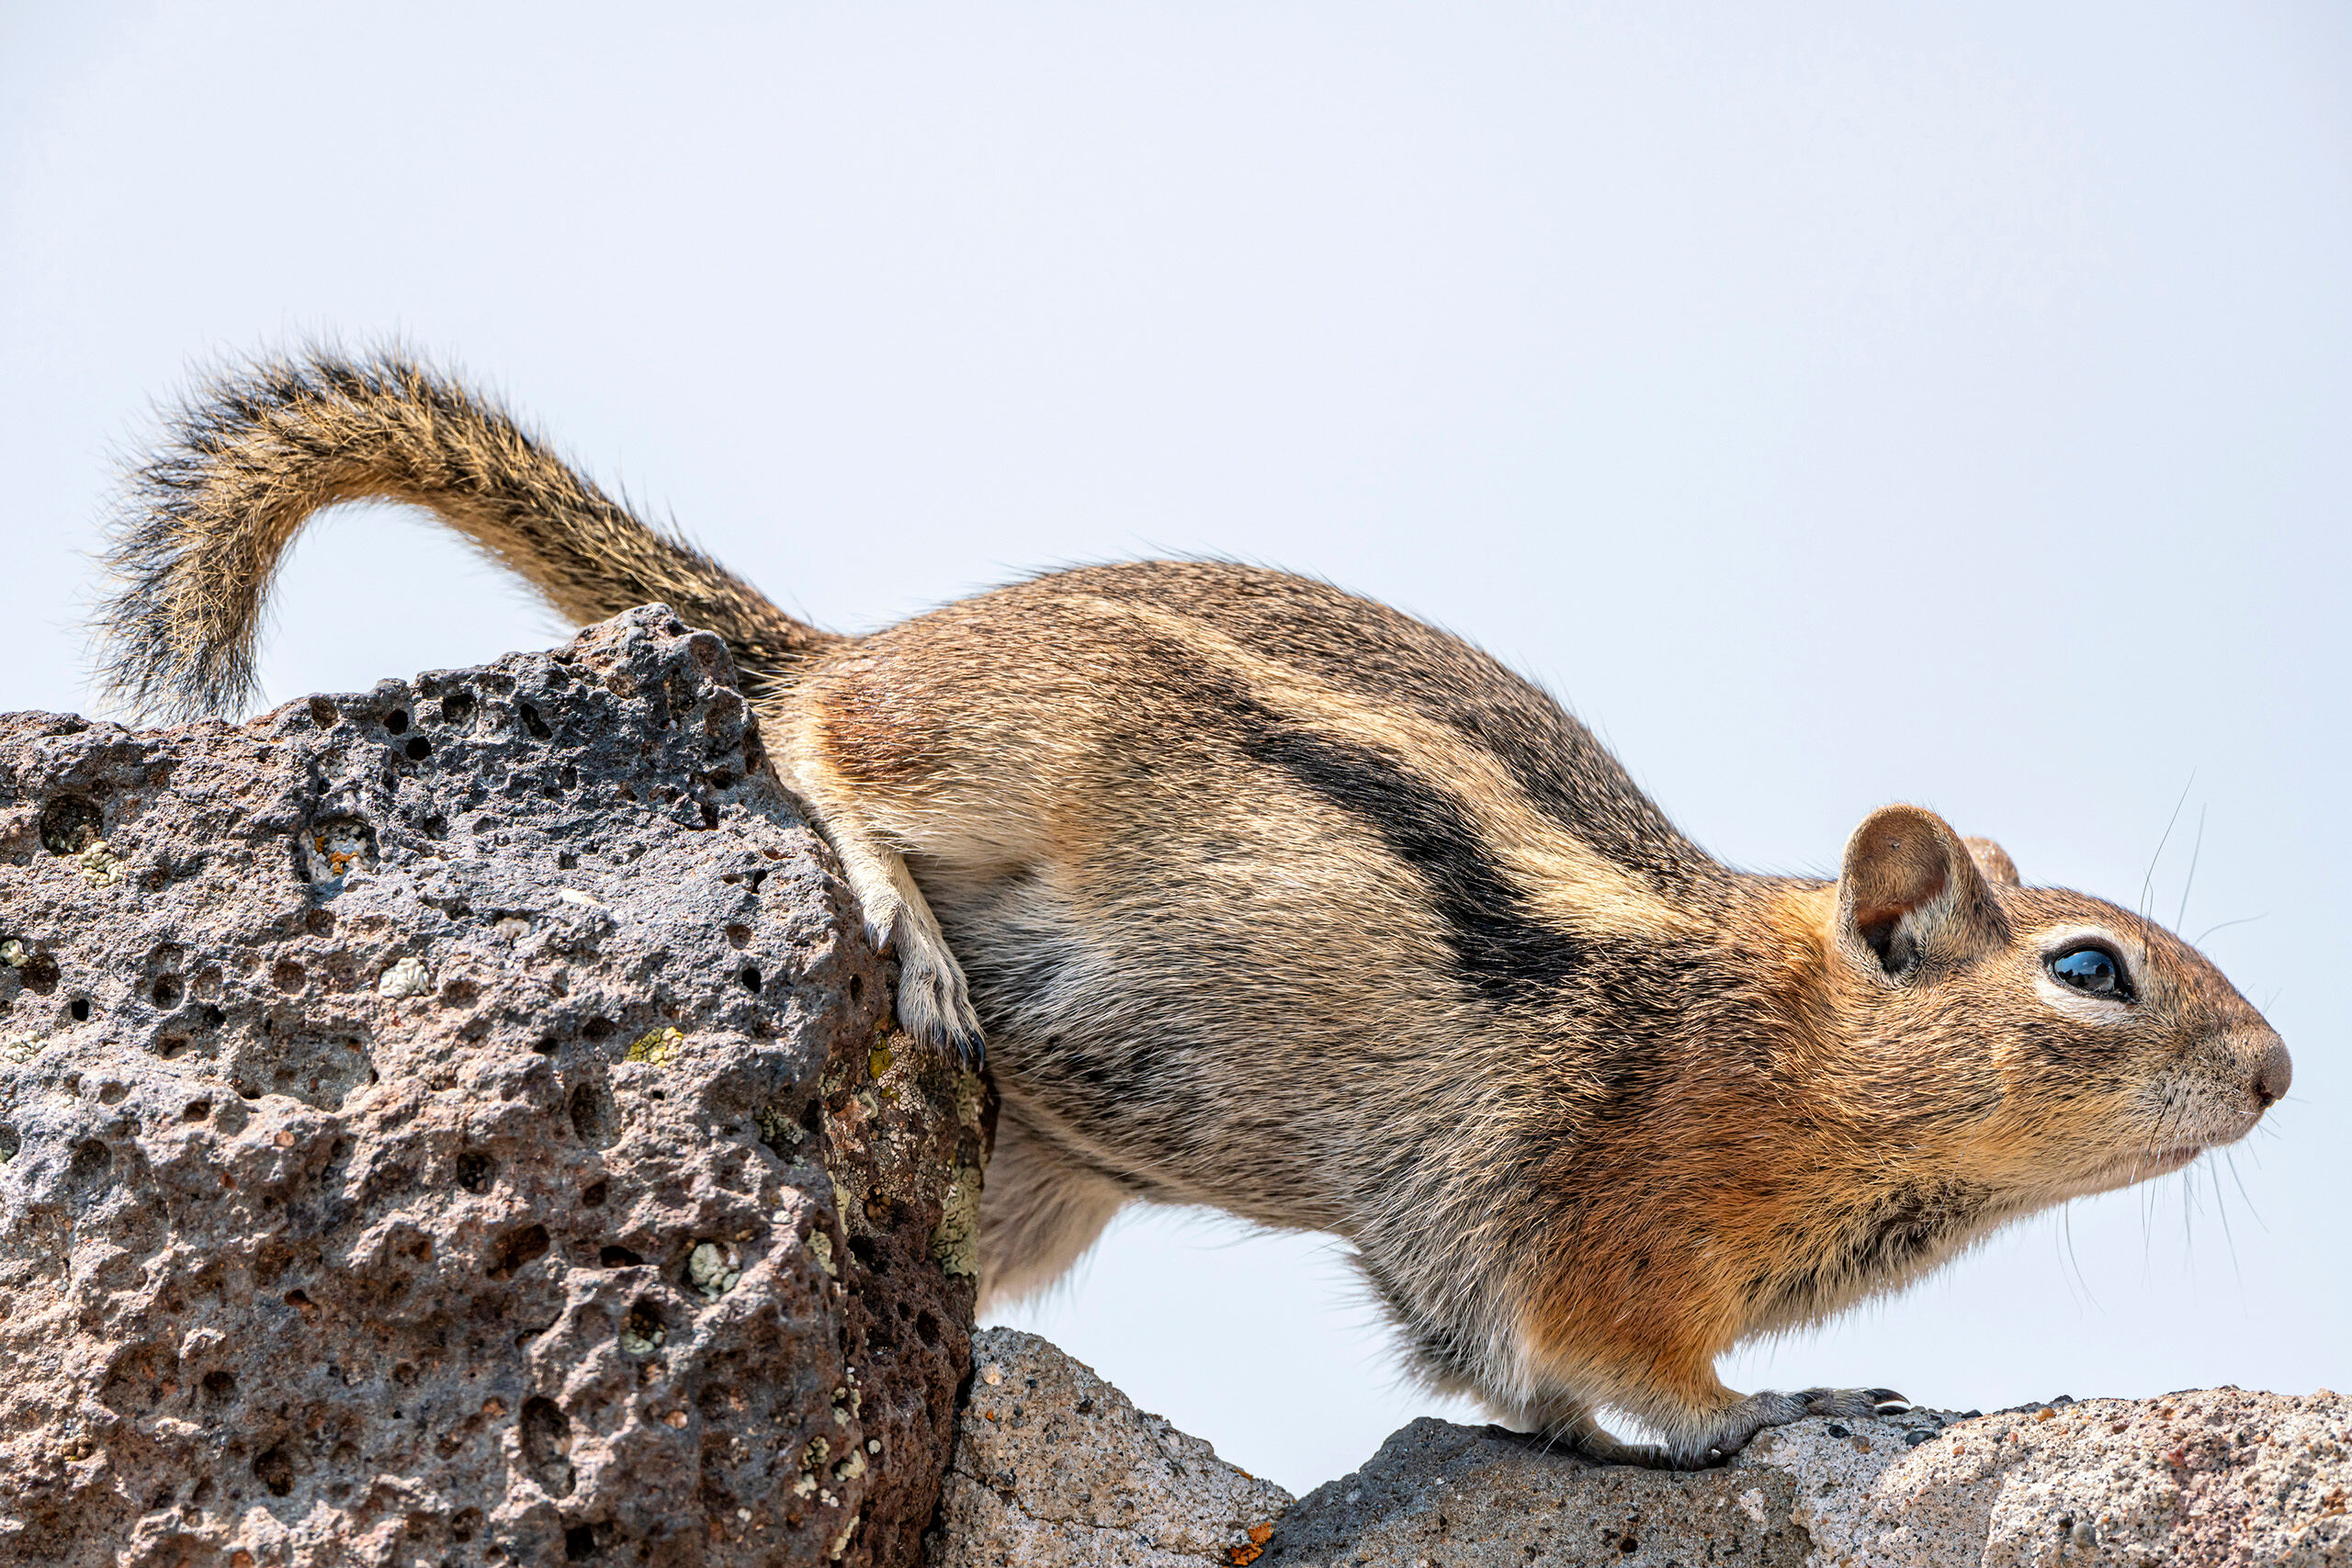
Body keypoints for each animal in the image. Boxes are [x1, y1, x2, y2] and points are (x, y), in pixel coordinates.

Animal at [89, 349, 2292, 1468]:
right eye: (2090, 968)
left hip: (1042, 1181)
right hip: (1006, 756)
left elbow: (1494, 1383)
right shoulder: (1606, 1222)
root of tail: (883, 628)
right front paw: (1786, 1403)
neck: (1778, 1043)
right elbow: (1639, 1372)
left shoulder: (1462, 1259)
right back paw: (883, 889)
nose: (2278, 1073)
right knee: (805, 727)